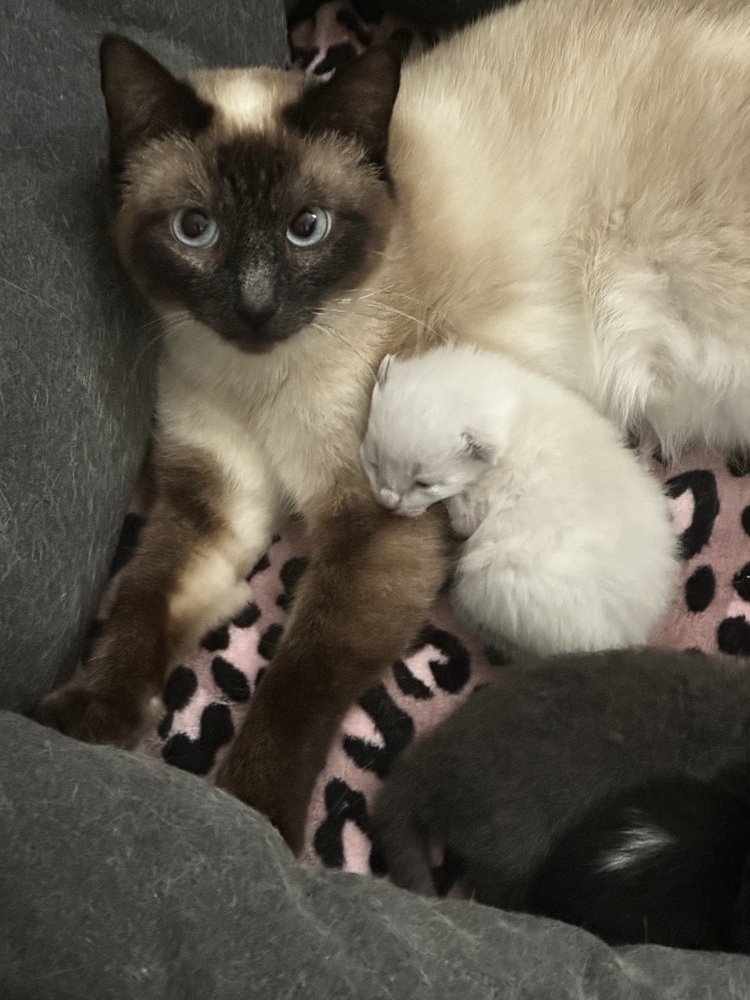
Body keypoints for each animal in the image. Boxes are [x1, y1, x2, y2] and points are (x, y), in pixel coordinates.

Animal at [362, 348, 680, 660]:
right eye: (375, 461)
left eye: (424, 483)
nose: (388, 501)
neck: (510, 410)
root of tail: (626, 638)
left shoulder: (476, 505)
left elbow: (461, 516)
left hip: (488, 582)